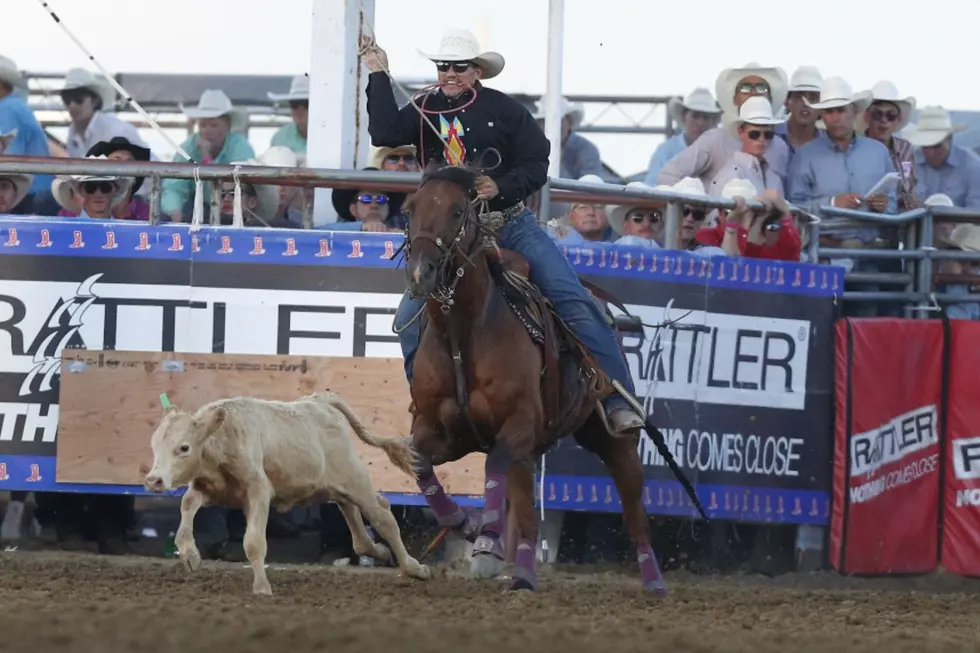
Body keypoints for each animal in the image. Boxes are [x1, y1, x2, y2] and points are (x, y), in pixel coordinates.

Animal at [143, 390, 428, 592]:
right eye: (154, 445)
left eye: (183, 447)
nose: (153, 480)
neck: (223, 438)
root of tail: (320, 400)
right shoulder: (210, 488)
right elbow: (187, 504)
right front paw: (190, 554)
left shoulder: (258, 491)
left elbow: (253, 542)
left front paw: (262, 588)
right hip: (334, 485)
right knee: (356, 522)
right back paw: (381, 552)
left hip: (354, 476)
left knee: (383, 516)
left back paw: (415, 568)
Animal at [398, 166, 704, 592]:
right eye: (409, 209)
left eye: (458, 210)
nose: (419, 274)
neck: (465, 333)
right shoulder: (443, 431)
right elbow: (420, 462)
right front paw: (463, 522)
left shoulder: (519, 423)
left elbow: (494, 466)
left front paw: (487, 540)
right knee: (527, 517)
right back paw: (523, 574)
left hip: (613, 442)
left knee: (634, 512)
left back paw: (654, 582)